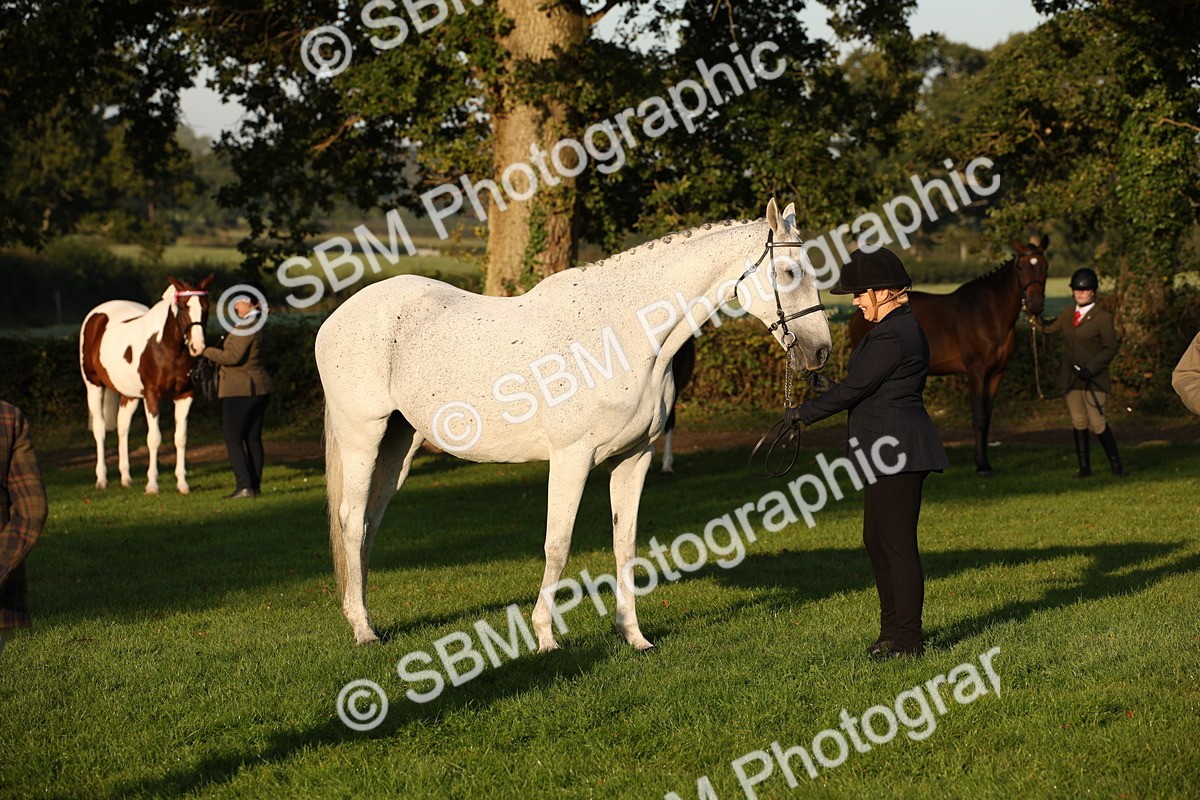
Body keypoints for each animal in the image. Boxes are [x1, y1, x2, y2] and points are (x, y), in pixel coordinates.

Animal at [79, 275, 213, 493]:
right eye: (183, 307)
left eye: (206, 306)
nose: (198, 346)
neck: (166, 347)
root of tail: (96, 316)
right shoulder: (152, 396)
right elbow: (154, 438)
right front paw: (152, 484)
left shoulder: (185, 395)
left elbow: (180, 438)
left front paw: (182, 483)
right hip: (94, 386)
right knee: (100, 429)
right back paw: (102, 479)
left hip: (130, 394)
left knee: (123, 426)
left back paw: (126, 477)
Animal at [849, 237, 1049, 475]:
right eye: (1021, 267)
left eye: (1045, 267)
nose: (1035, 305)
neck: (989, 313)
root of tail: (856, 317)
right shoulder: (976, 371)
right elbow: (979, 418)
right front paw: (981, 466)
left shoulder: (996, 373)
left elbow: (987, 418)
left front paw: (984, 461)